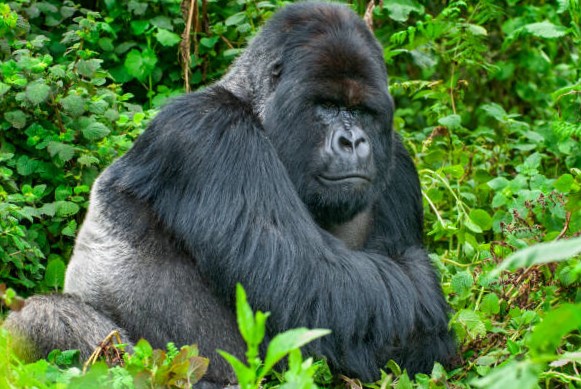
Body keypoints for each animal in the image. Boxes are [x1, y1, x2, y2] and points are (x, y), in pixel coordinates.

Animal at [6, 1, 456, 384]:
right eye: (327, 105)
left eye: (361, 111)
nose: (354, 141)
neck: (254, 109)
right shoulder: (210, 132)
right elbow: (315, 286)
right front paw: (424, 290)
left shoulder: (399, 162)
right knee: (40, 321)